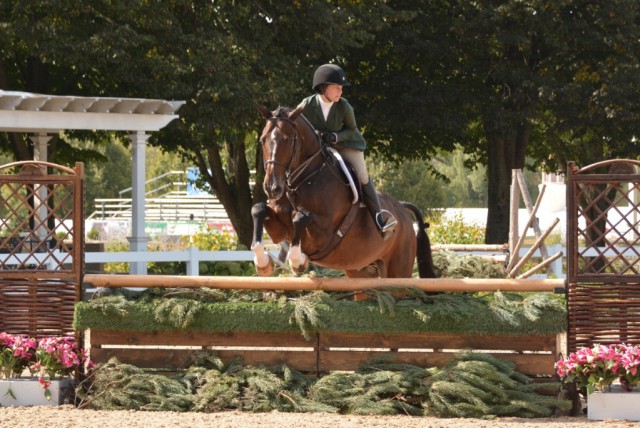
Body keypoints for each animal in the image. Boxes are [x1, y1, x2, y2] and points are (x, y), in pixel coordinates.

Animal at [249, 103, 436, 278]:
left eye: (288, 140)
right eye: (262, 140)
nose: (272, 188)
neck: (300, 182)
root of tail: (402, 209)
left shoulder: (323, 233)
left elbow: (300, 218)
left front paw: (298, 262)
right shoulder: (279, 230)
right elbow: (258, 209)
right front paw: (263, 263)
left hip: (398, 268)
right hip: (360, 270)